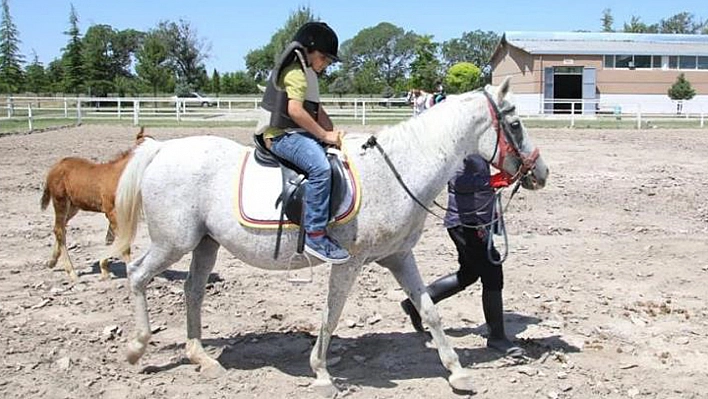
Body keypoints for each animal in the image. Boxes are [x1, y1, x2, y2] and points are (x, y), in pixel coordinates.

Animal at [113, 76, 552, 396]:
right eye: (515, 124)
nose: (541, 171)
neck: (395, 171)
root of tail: (162, 150)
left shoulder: (399, 258)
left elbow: (429, 310)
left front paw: (457, 372)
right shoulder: (350, 263)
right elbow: (332, 313)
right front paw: (322, 374)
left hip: (205, 244)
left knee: (193, 291)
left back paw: (201, 357)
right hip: (173, 242)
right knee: (137, 276)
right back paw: (136, 348)